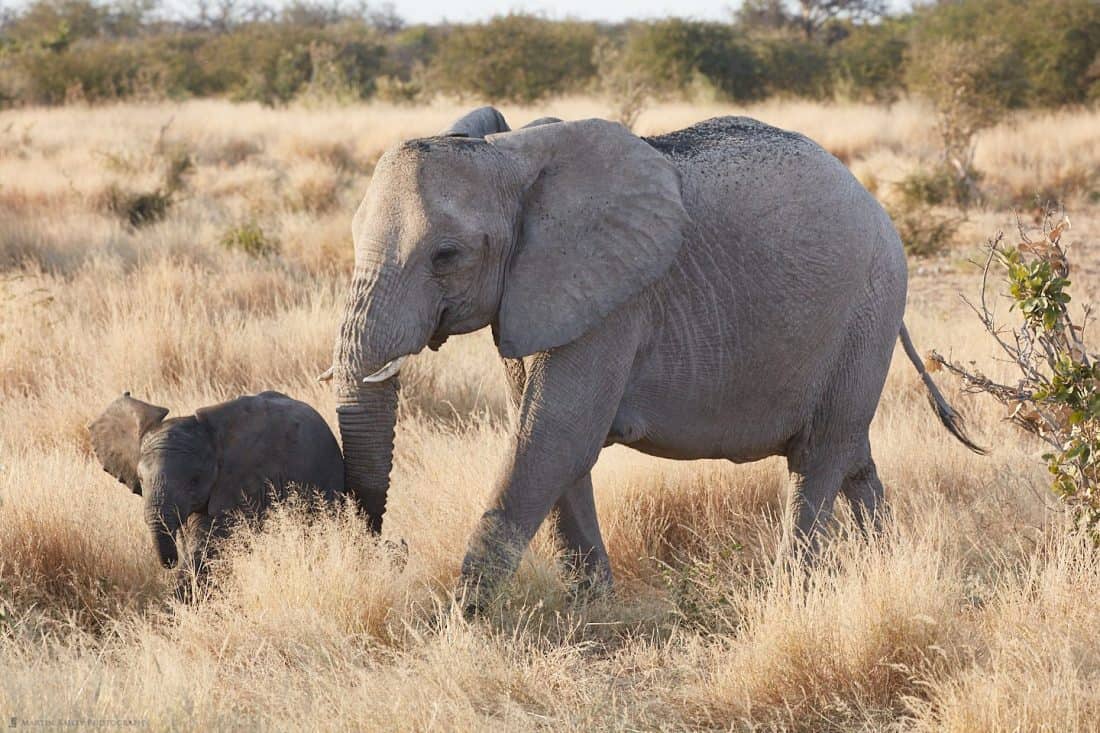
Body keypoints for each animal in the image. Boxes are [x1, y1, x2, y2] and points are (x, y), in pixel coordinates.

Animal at [325, 105, 981, 603]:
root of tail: (879, 210)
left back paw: (793, 594)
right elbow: (549, 438)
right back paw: (885, 566)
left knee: (818, 459)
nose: (388, 546)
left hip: (867, 309)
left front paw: (465, 620)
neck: (512, 156)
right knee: (852, 458)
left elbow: (553, 437)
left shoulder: (615, 303)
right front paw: (593, 608)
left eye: (446, 255)